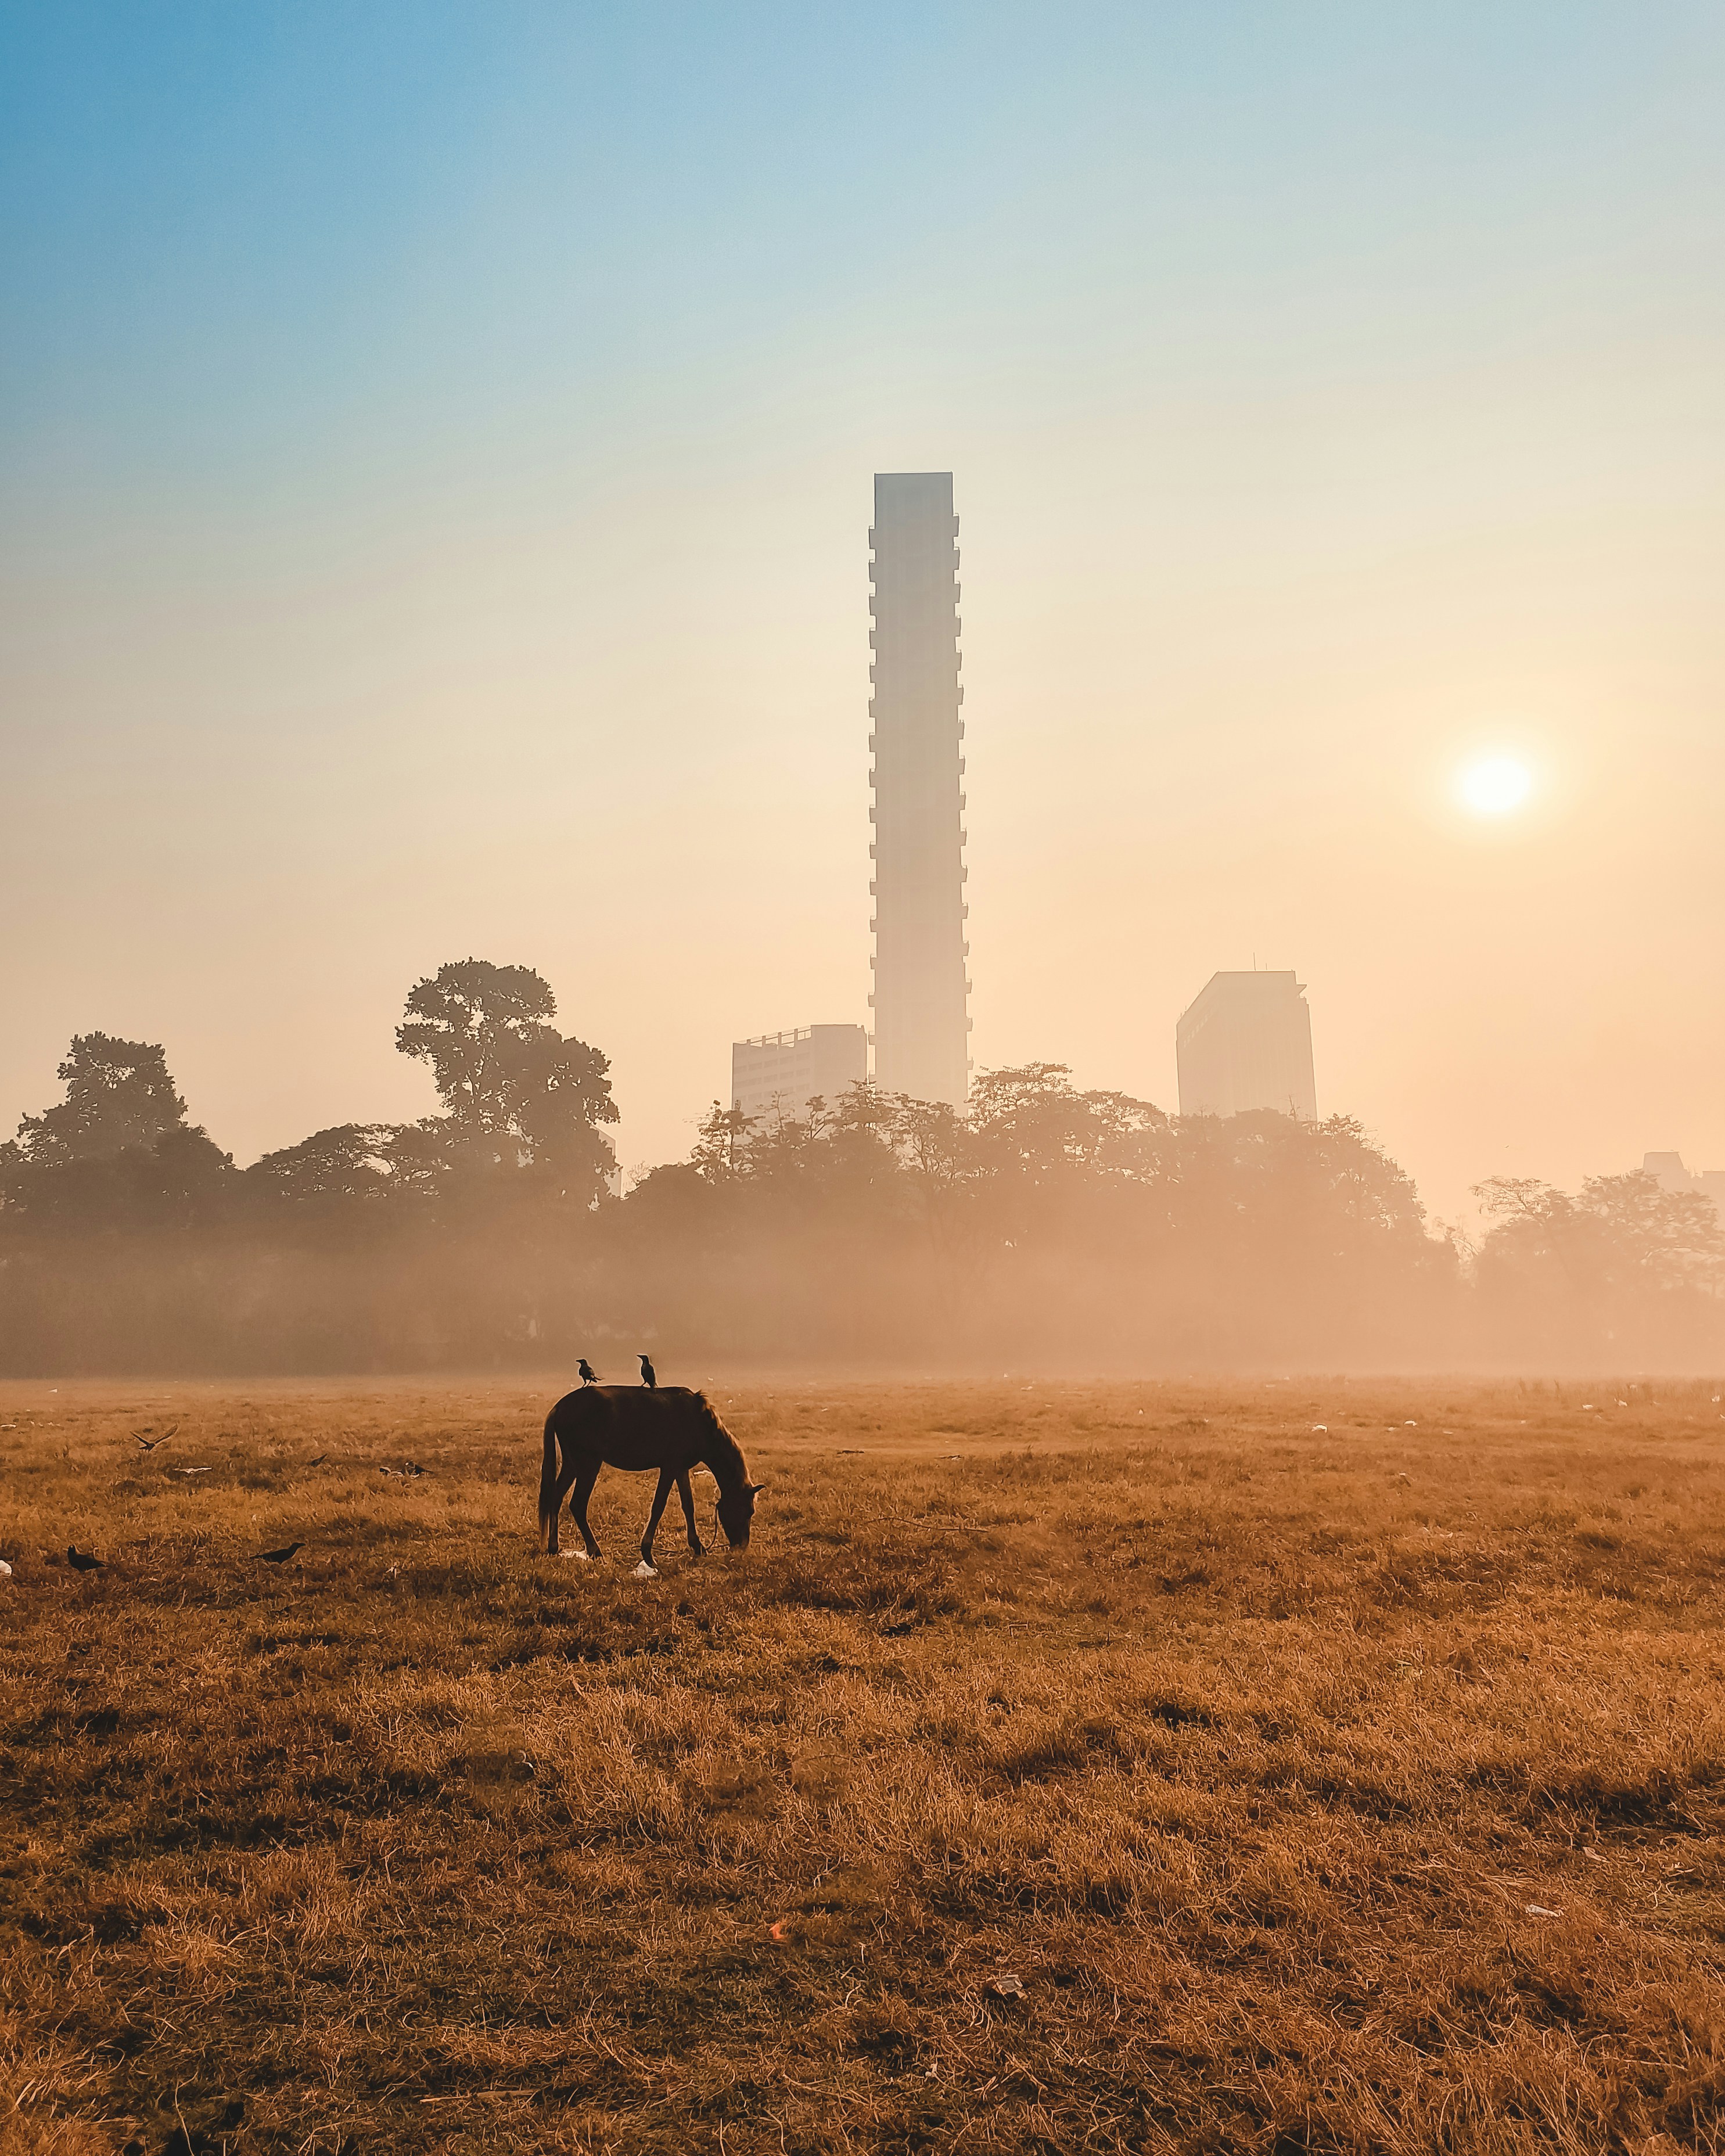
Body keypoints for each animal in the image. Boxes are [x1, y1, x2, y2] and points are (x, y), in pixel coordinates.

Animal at [538, 1384, 765, 1573]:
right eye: (748, 1511)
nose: (741, 1547)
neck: (698, 1422)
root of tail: (561, 1406)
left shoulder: (681, 1469)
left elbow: (688, 1505)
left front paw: (698, 1546)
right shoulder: (670, 1468)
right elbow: (658, 1506)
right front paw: (648, 1553)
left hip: (572, 1465)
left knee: (556, 1497)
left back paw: (554, 1547)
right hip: (588, 1465)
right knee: (577, 1505)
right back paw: (595, 1551)